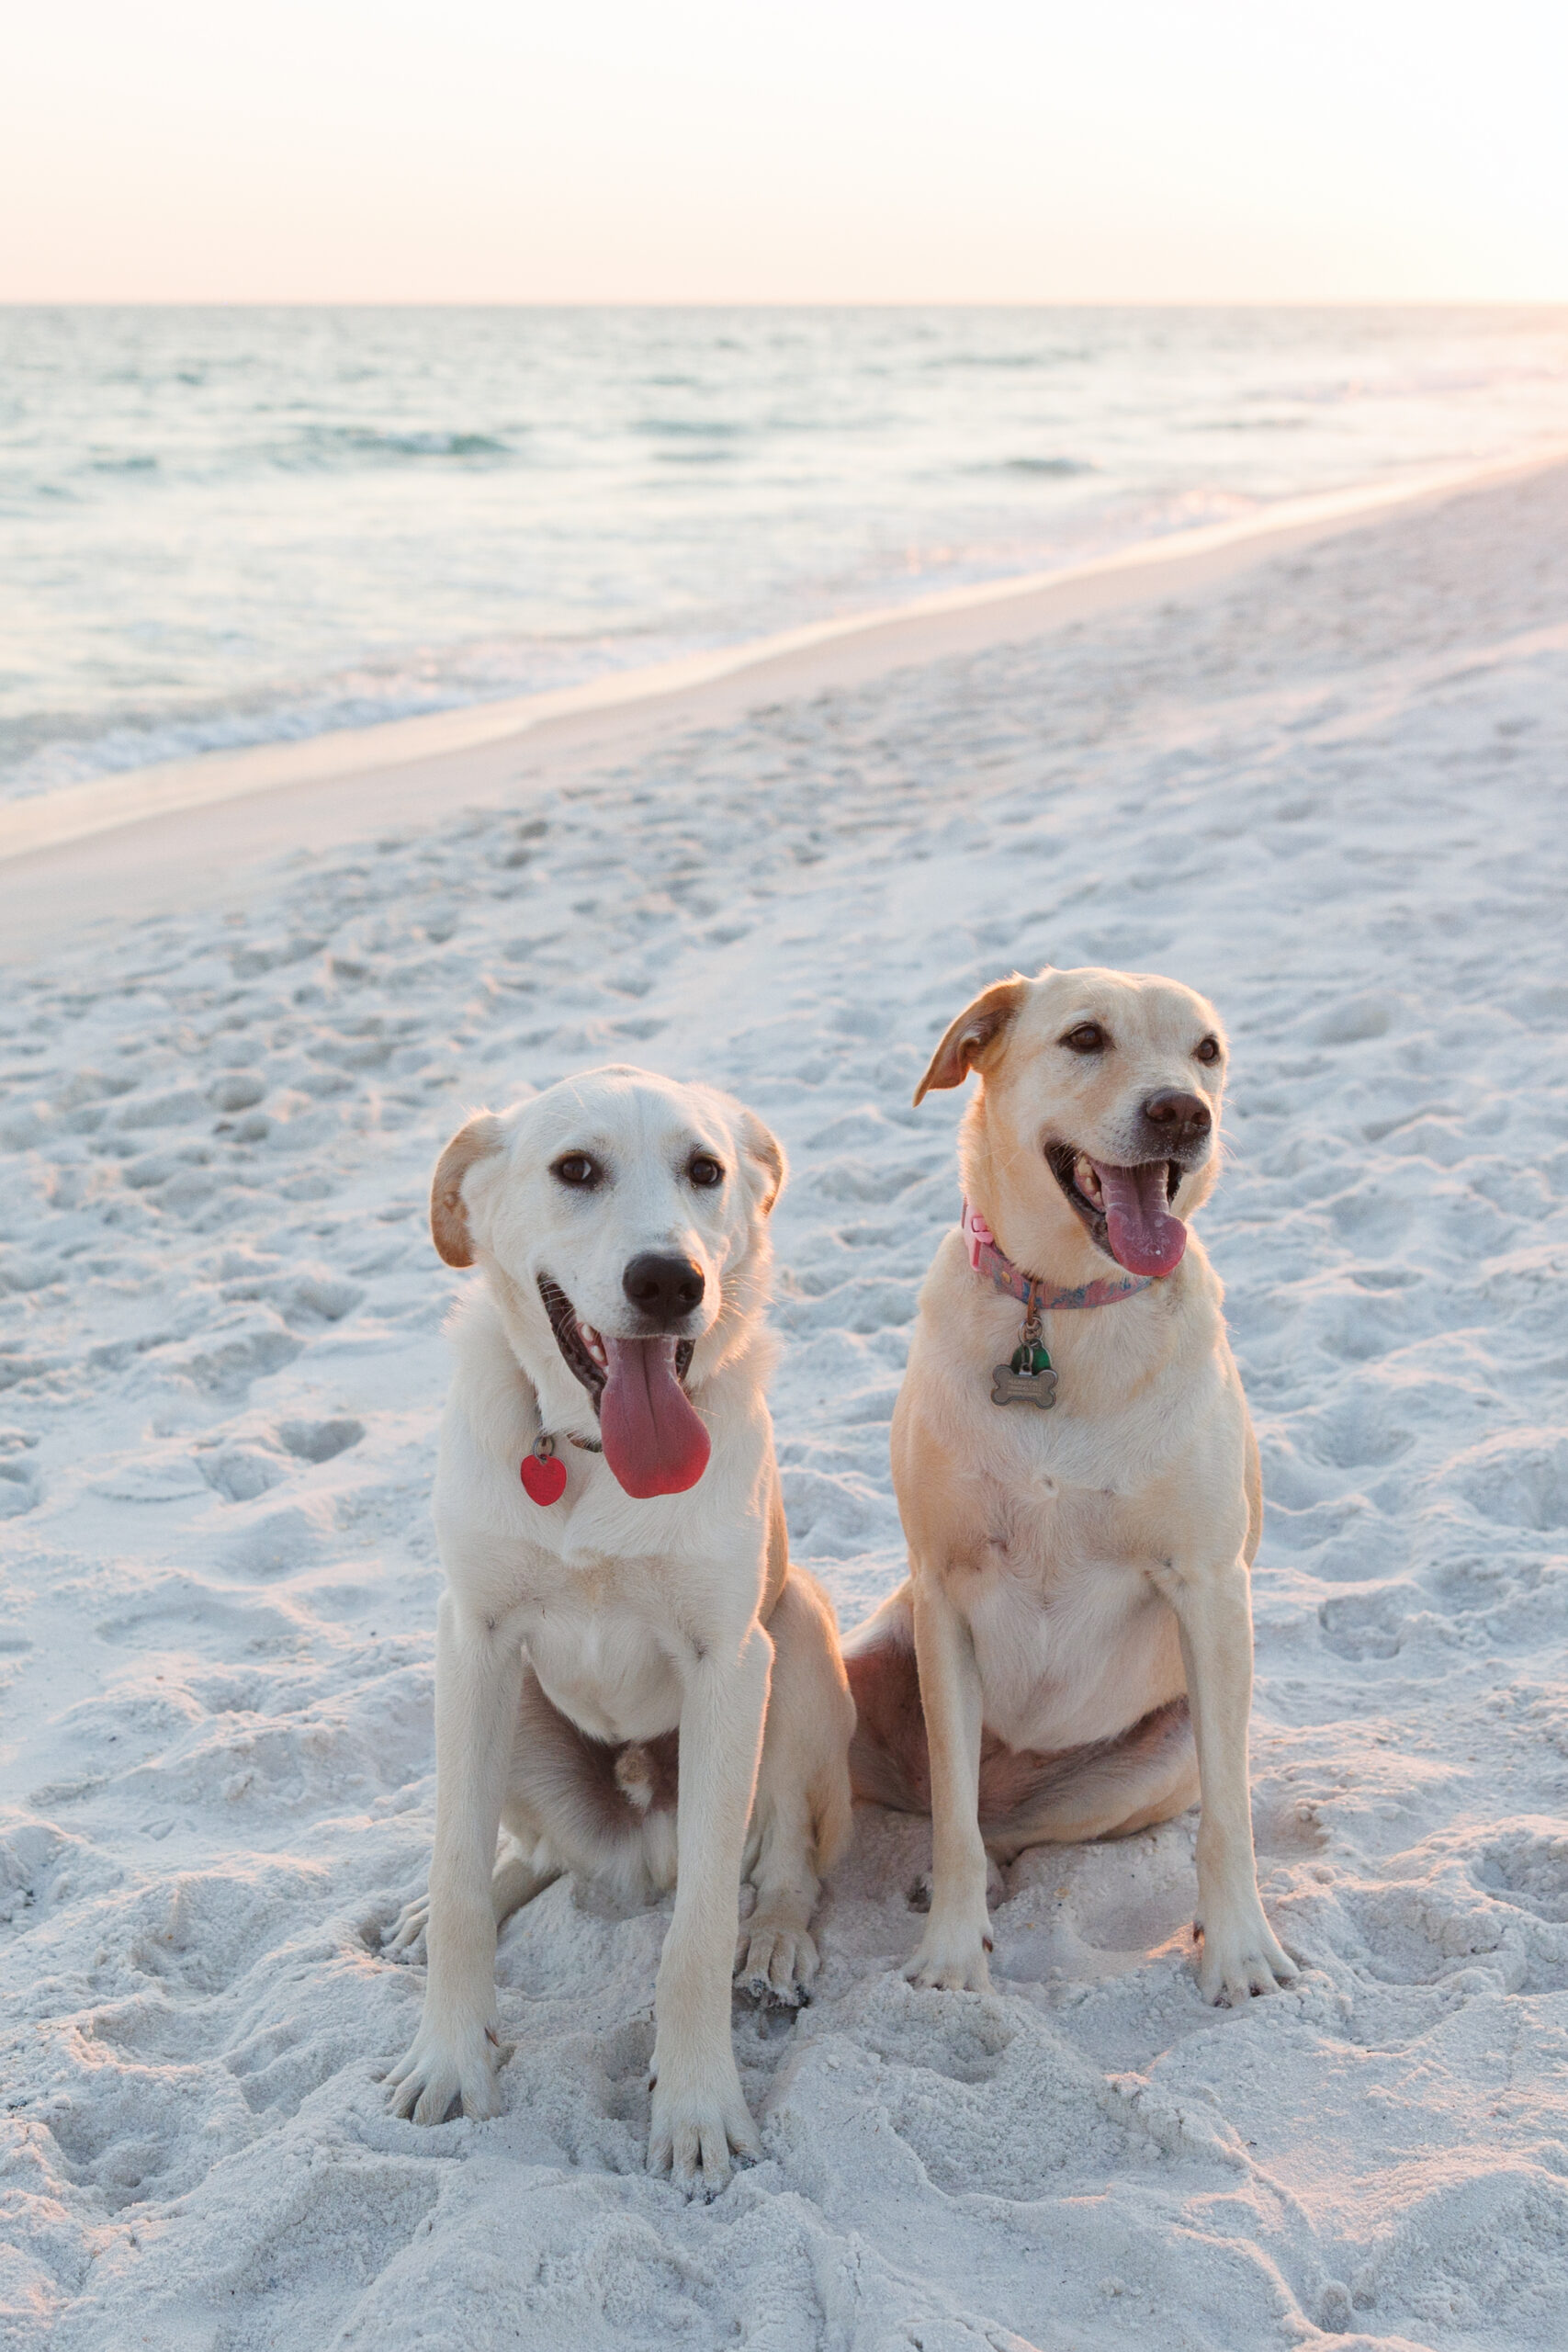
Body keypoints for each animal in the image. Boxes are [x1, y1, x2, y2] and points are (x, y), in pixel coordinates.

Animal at [392, 1068, 860, 2182]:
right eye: (576, 1169)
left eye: (706, 1171)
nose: (668, 1283)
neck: (597, 1452)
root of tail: (633, 1839)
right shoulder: (472, 1641)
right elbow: (459, 1868)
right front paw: (449, 2057)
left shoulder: (731, 1663)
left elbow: (697, 1930)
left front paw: (695, 2107)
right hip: (510, 1706)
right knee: (530, 1852)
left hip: (799, 1637)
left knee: (786, 1853)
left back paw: (774, 1937)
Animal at [846, 964, 1297, 2013]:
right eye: (1086, 1038)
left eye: (1207, 1050)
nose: (1184, 1112)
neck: (1061, 1308)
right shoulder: (942, 1592)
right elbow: (953, 1816)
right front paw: (950, 1954)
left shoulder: (1209, 1589)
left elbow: (1230, 1821)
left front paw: (1239, 1950)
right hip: (865, 1660)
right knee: (952, 1808)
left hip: (1158, 1756)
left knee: (1018, 1827)